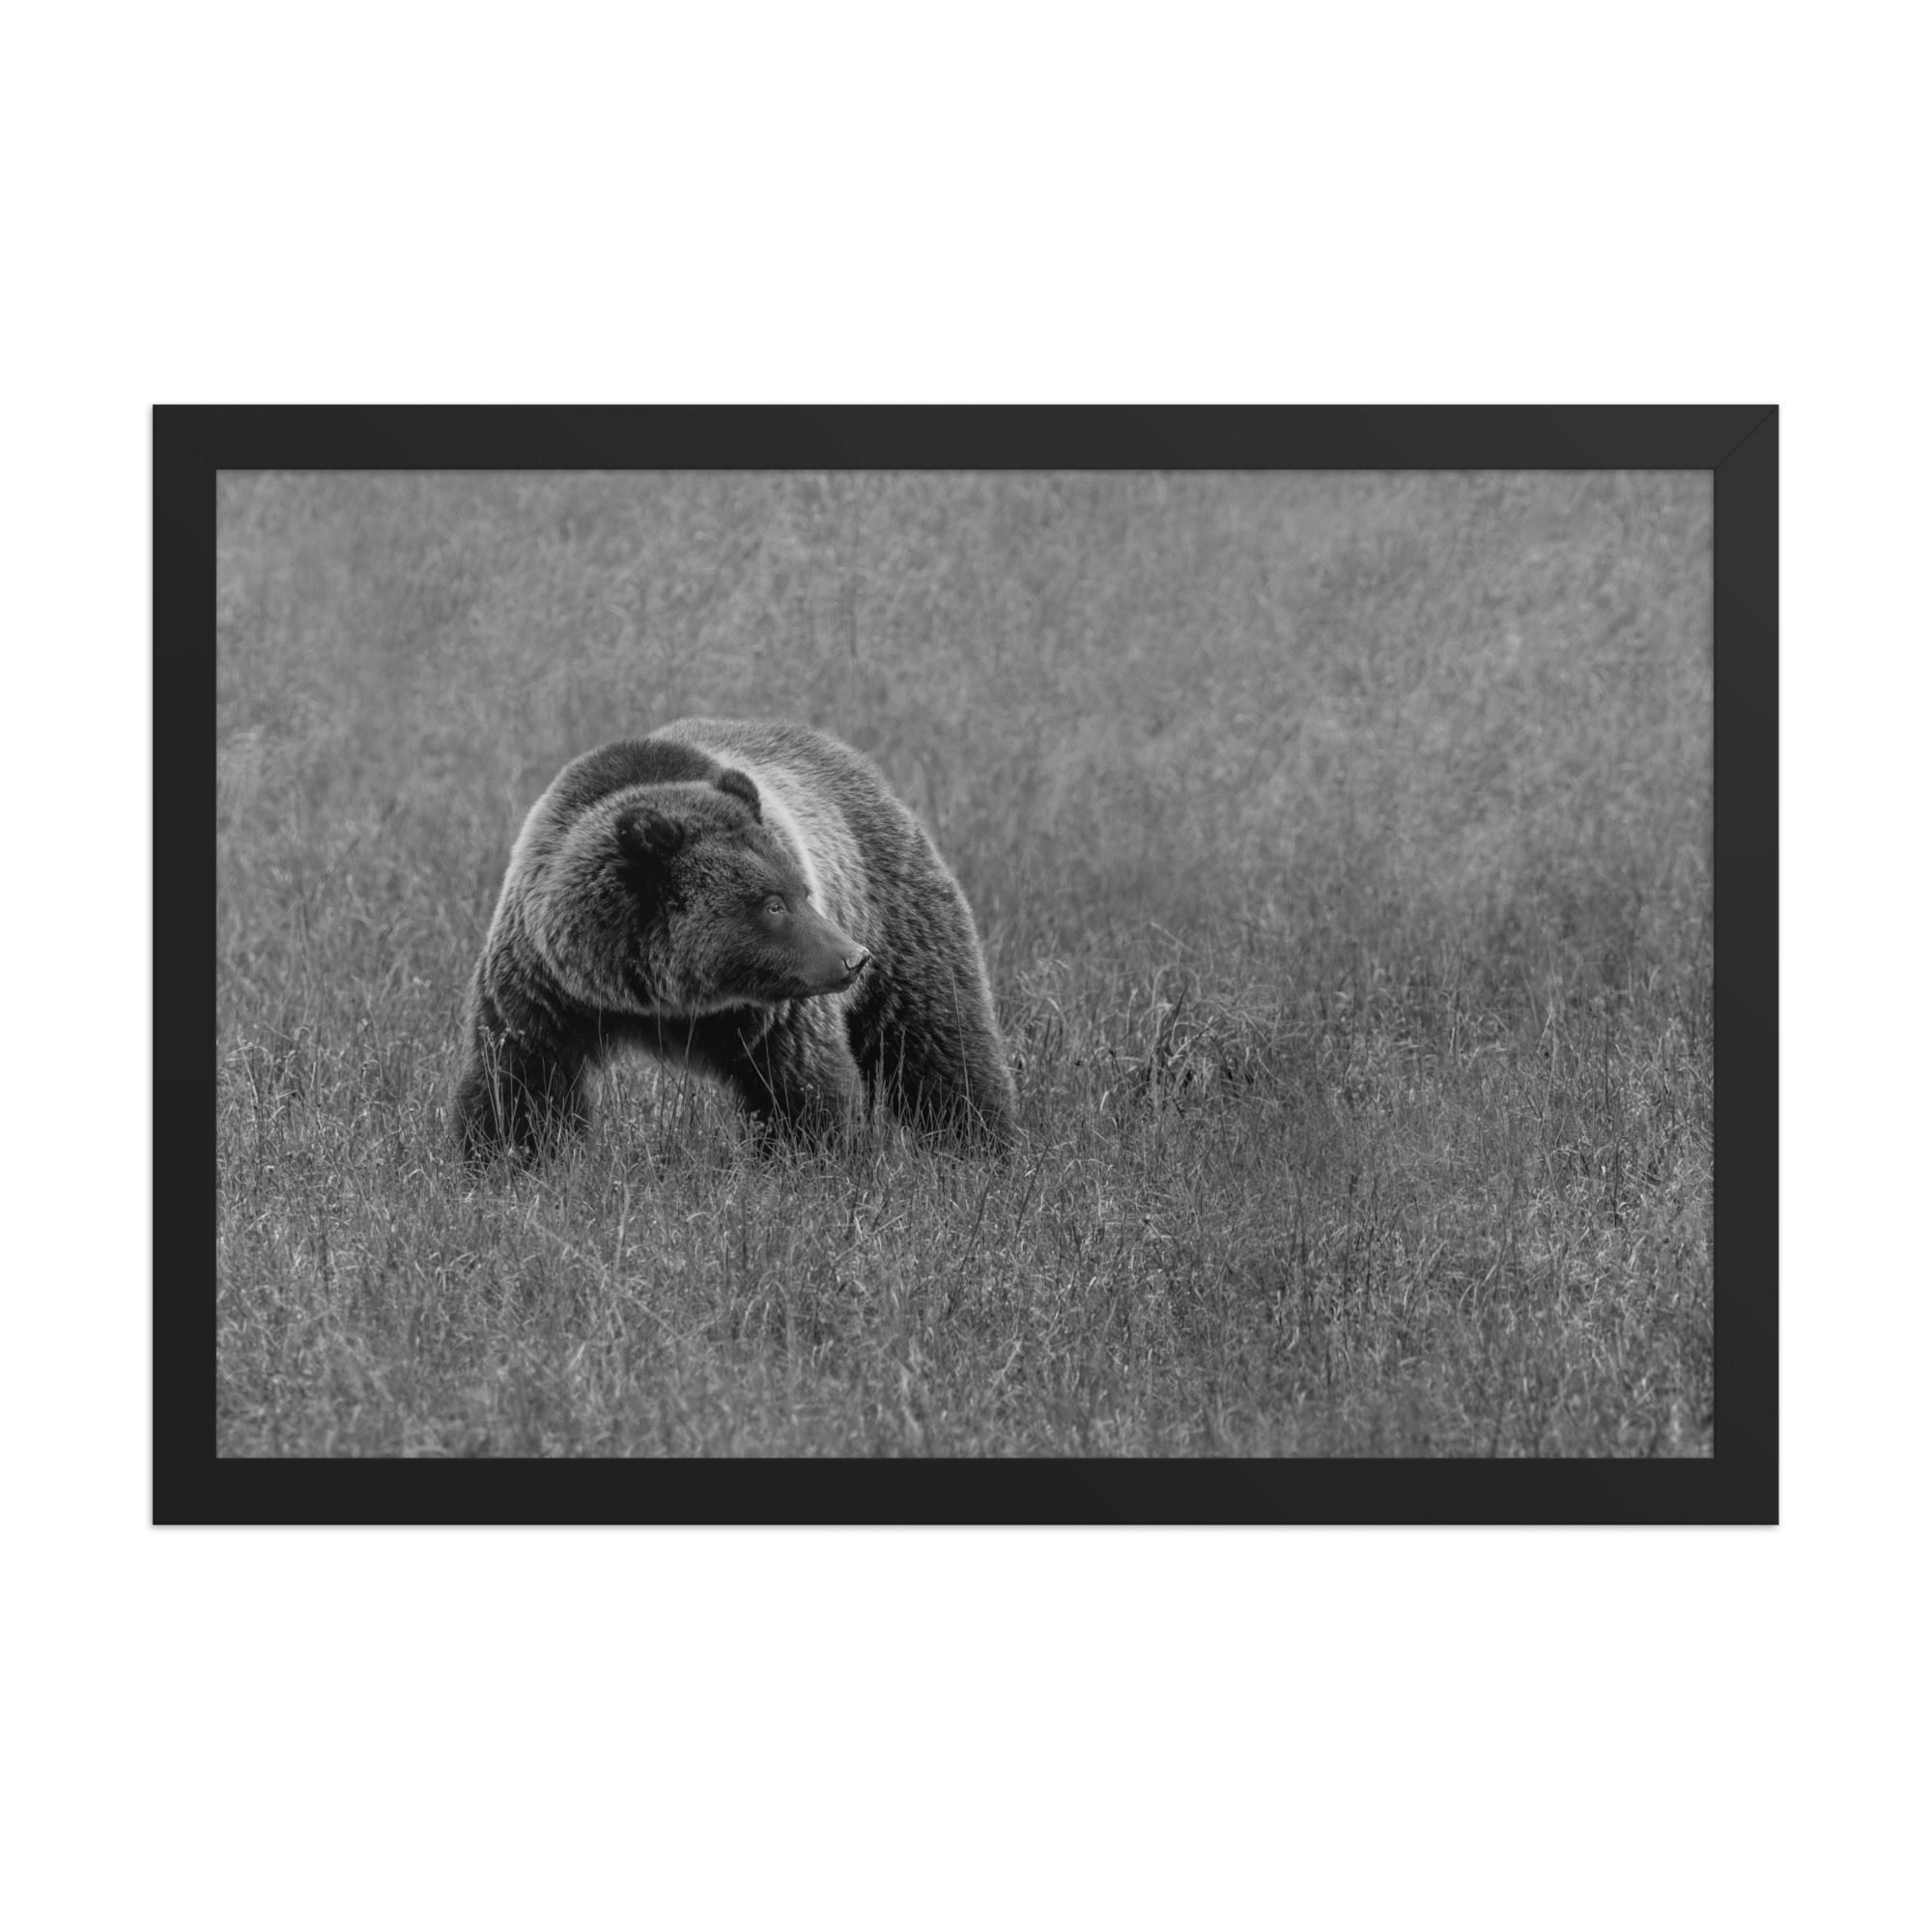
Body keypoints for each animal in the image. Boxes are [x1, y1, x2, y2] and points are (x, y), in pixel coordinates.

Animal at [453, 718, 1017, 1162]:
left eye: (802, 890)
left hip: (897, 914)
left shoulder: (774, 1012)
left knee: (937, 1041)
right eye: (773, 903)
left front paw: (815, 1162)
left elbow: (803, 1088)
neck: (661, 996)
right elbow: (520, 1083)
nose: (853, 958)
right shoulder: (546, 987)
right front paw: (503, 1160)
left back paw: (983, 1147)